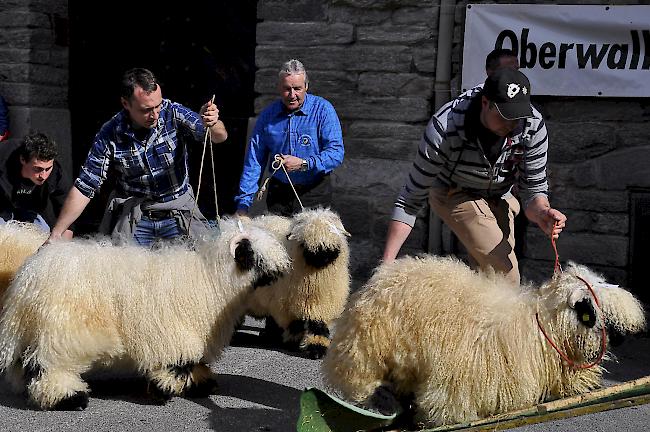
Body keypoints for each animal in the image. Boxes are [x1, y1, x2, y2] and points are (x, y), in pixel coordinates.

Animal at [0, 218, 288, 410]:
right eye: (253, 254)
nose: (283, 270)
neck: (211, 280)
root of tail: (30, 275)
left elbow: (192, 362)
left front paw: (201, 384)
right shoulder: (175, 335)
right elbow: (176, 364)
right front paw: (165, 389)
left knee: (28, 364)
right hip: (63, 332)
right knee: (47, 366)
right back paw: (68, 398)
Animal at [247, 208, 350, 360]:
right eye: (305, 240)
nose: (322, 257)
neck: (315, 275)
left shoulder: (322, 302)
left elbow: (318, 325)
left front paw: (317, 349)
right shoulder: (288, 302)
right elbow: (296, 324)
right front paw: (293, 342)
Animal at [322, 255, 644, 426]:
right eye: (595, 309)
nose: (625, 337)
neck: (542, 328)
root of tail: (379, 279)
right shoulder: (463, 376)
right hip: (365, 353)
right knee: (364, 386)